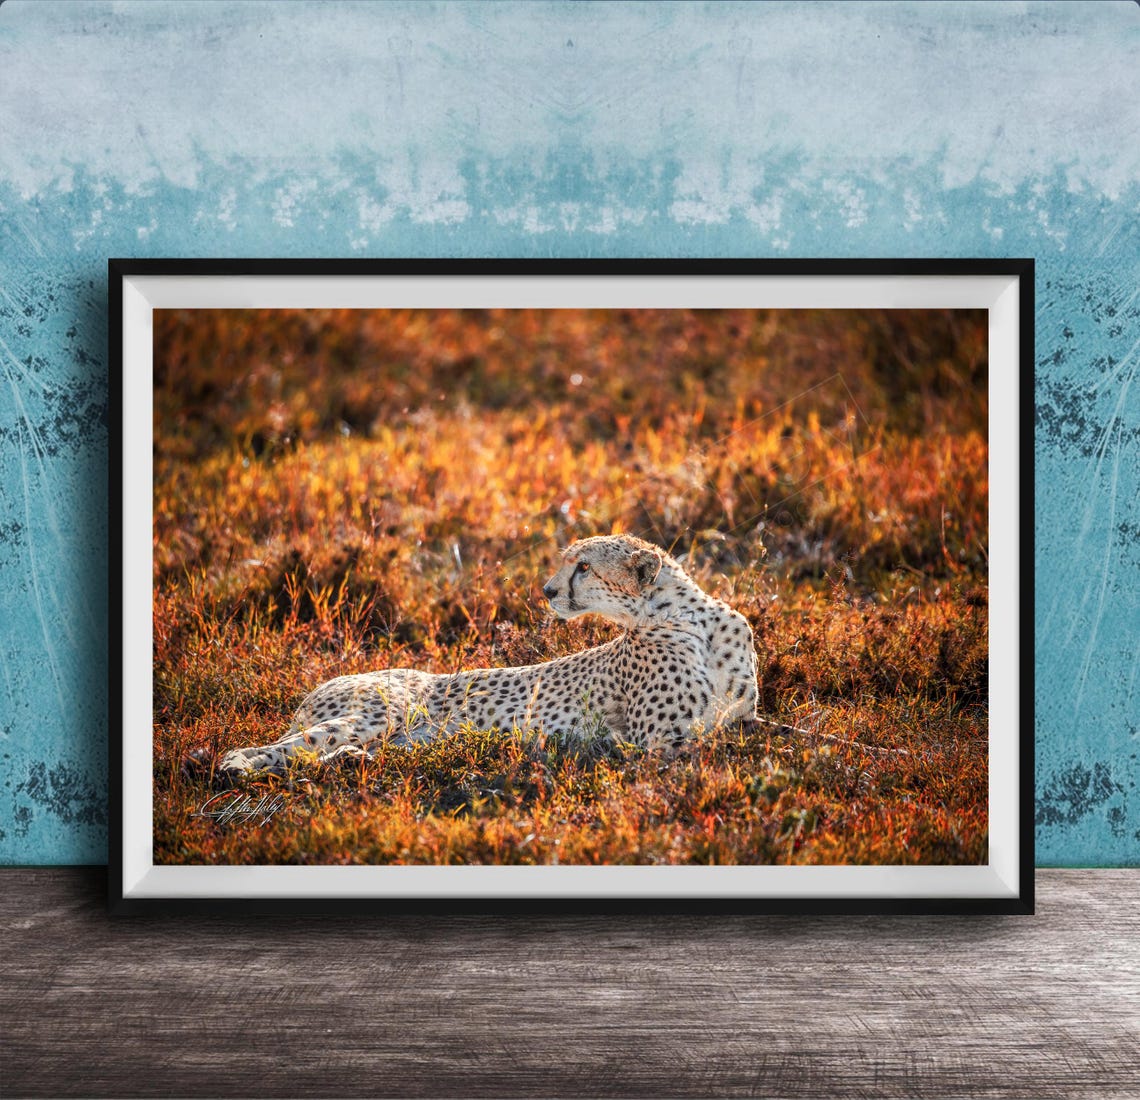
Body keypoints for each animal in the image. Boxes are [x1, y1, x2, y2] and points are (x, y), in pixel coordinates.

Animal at [216, 533, 759, 777]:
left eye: (583, 566)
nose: (547, 590)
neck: (689, 619)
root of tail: (315, 687)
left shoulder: (740, 719)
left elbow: (766, 733)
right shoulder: (657, 745)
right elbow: (717, 751)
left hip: (404, 737)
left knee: (324, 753)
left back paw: (349, 762)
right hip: (380, 711)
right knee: (275, 748)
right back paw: (237, 766)